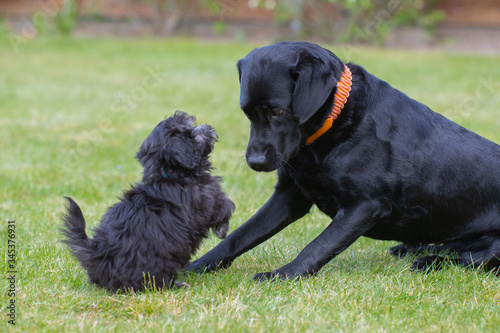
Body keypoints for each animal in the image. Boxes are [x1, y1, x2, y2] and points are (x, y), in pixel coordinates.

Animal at [62, 110, 234, 290]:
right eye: (190, 133)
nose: (205, 127)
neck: (172, 174)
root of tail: (98, 254)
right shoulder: (207, 199)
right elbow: (225, 207)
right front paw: (222, 230)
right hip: (159, 263)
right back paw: (176, 285)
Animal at [187, 42, 500, 280]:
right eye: (247, 112)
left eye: (277, 111)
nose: (255, 161)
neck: (336, 122)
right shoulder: (289, 197)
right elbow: (239, 235)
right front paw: (196, 266)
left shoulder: (364, 206)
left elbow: (318, 245)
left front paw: (283, 275)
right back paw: (412, 248)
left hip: (492, 249)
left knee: (472, 260)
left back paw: (428, 260)